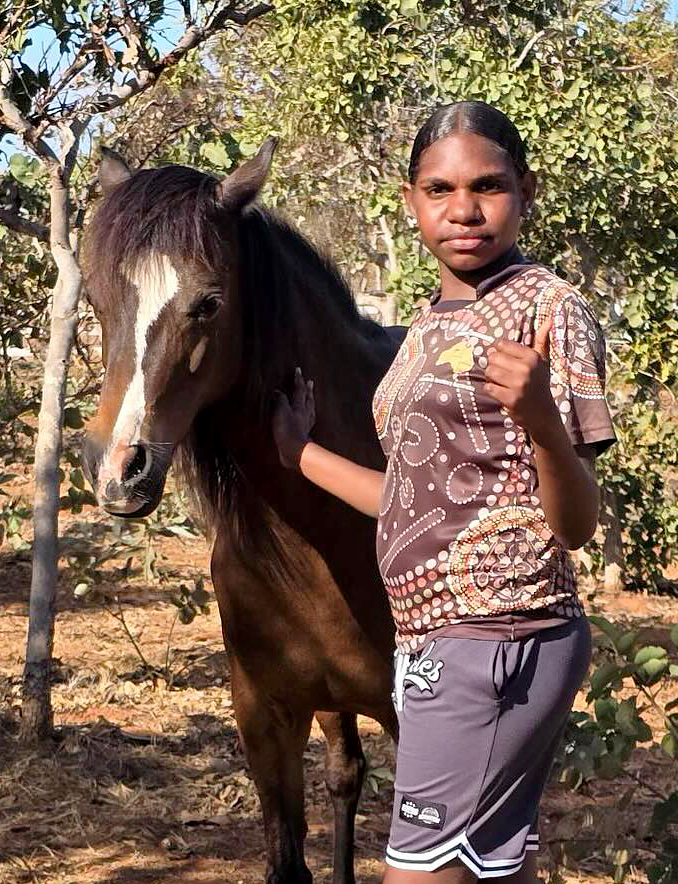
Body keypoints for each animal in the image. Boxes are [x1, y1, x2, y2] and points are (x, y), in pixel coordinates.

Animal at [81, 139, 401, 884]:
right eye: (99, 299)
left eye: (208, 303)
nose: (117, 472)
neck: (321, 538)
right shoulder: (265, 718)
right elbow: (288, 860)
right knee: (346, 775)